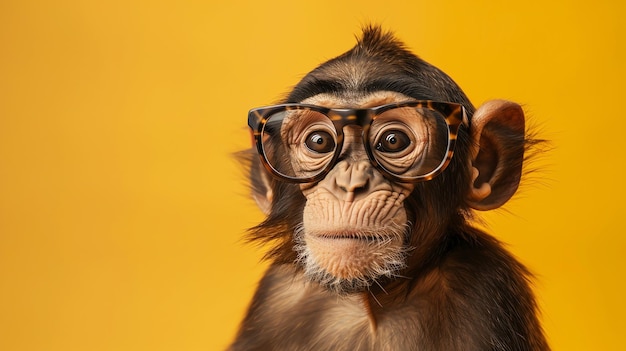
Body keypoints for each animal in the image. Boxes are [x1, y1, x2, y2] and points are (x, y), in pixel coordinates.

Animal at [229, 25, 544, 351]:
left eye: (393, 141)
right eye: (319, 141)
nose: (350, 183)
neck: (368, 304)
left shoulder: (484, 290)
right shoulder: (274, 294)